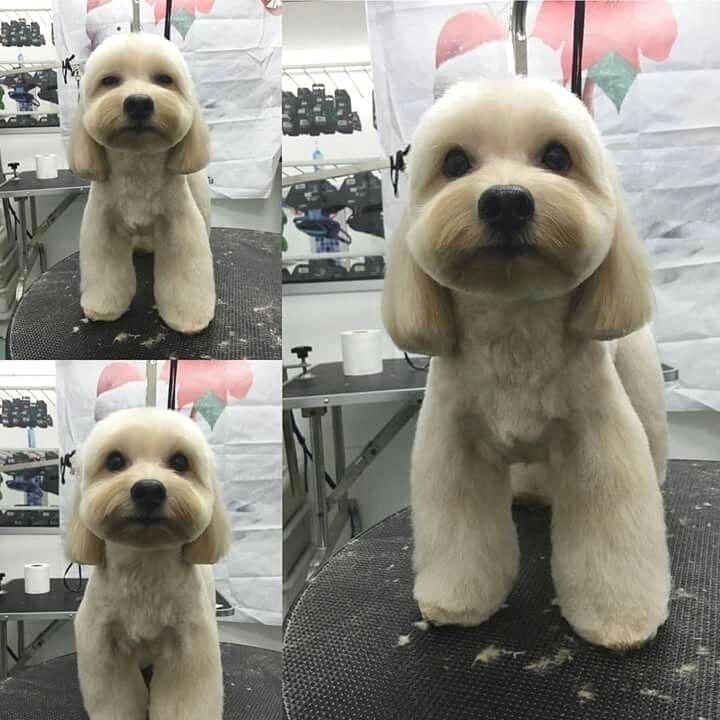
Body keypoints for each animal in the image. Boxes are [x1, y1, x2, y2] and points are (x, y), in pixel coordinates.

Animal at [66, 408, 231, 720]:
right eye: (115, 461)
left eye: (180, 462)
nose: (149, 490)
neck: (144, 566)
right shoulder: (102, 644)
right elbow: (116, 700)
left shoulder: (187, 649)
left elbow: (184, 702)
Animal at [68, 33, 215, 334]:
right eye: (109, 81)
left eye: (164, 79)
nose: (138, 102)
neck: (138, 164)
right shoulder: (103, 227)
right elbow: (106, 272)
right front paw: (103, 308)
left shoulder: (179, 226)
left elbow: (186, 272)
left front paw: (189, 317)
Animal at [386, 79, 672, 652]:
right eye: (455, 163)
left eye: (557, 157)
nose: (506, 201)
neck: (514, 322)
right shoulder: (454, 447)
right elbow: (461, 531)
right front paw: (457, 602)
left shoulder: (598, 441)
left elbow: (611, 530)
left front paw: (621, 620)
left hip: (641, 386)